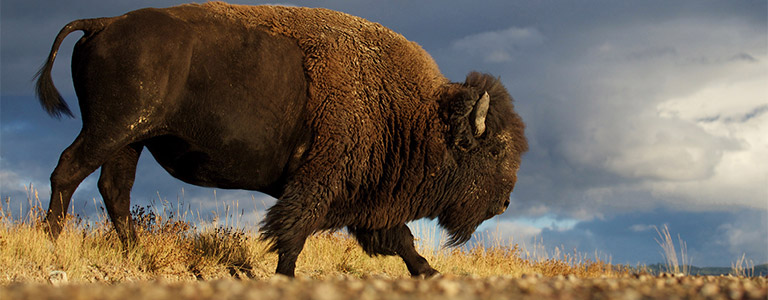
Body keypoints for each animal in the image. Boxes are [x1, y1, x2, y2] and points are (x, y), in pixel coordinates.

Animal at [37, 2, 528, 278]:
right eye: (495, 149)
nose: (504, 202)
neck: (416, 112)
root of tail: (103, 22)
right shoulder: (318, 182)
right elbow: (294, 231)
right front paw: (286, 276)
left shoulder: (368, 201)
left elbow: (401, 240)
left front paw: (429, 272)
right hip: (110, 130)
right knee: (68, 170)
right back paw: (52, 242)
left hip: (131, 139)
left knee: (113, 189)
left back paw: (136, 251)